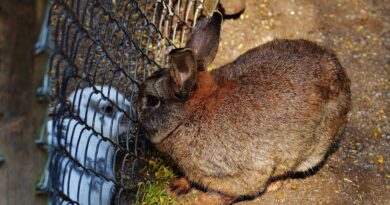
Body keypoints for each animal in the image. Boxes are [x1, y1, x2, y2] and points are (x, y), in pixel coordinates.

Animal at [136, 12, 350, 204]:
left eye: (152, 100)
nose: (139, 125)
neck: (189, 114)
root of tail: (343, 79)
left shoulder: (243, 172)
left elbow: (237, 190)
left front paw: (203, 200)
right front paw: (176, 186)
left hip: (313, 148)